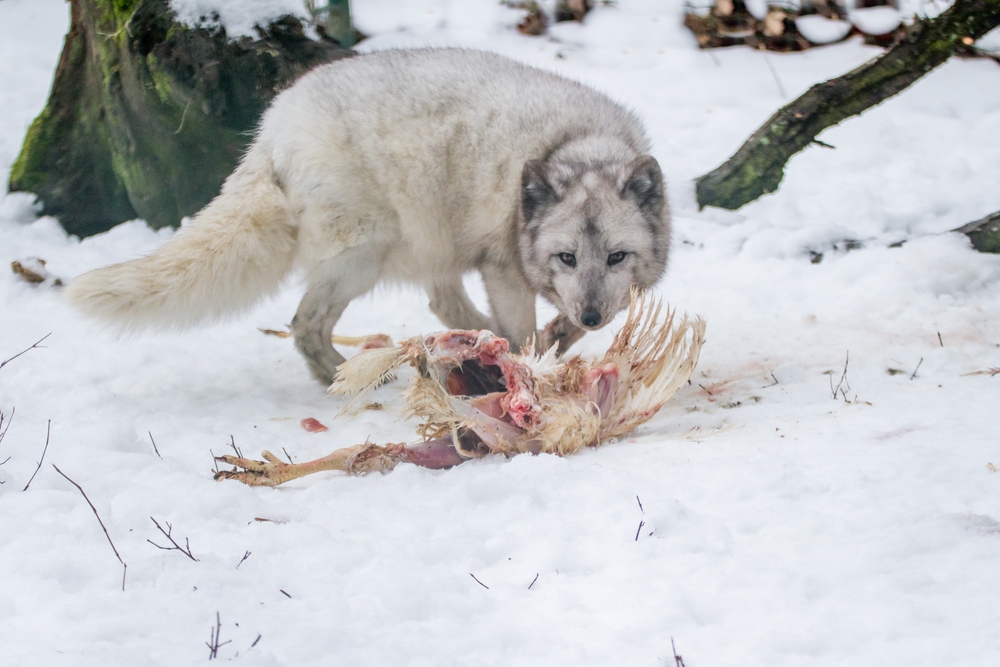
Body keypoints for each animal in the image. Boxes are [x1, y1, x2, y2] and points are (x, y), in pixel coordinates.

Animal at [66, 49, 668, 384]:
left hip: (428, 239)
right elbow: (522, 334)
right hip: (362, 256)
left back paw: (467, 346)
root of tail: (271, 131)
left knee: (442, 304)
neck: (575, 145)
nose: (590, 313)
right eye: (566, 257)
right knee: (304, 323)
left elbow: (577, 322)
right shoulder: (502, 265)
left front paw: (557, 338)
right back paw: (340, 374)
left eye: (616, 256)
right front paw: (528, 369)